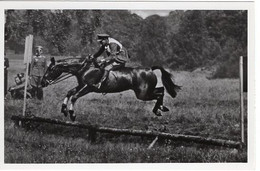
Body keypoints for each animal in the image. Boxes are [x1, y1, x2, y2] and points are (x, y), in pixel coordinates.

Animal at [41, 56, 182, 121]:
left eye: (50, 69)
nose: (42, 82)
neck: (85, 68)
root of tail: (150, 69)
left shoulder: (88, 87)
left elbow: (74, 96)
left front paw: (72, 113)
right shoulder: (81, 86)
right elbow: (69, 92)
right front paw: (64, 109)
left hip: (142, 94)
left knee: (159, 93)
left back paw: (158, 110)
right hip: (145, 92)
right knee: (161, 90)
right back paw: (161, 108)